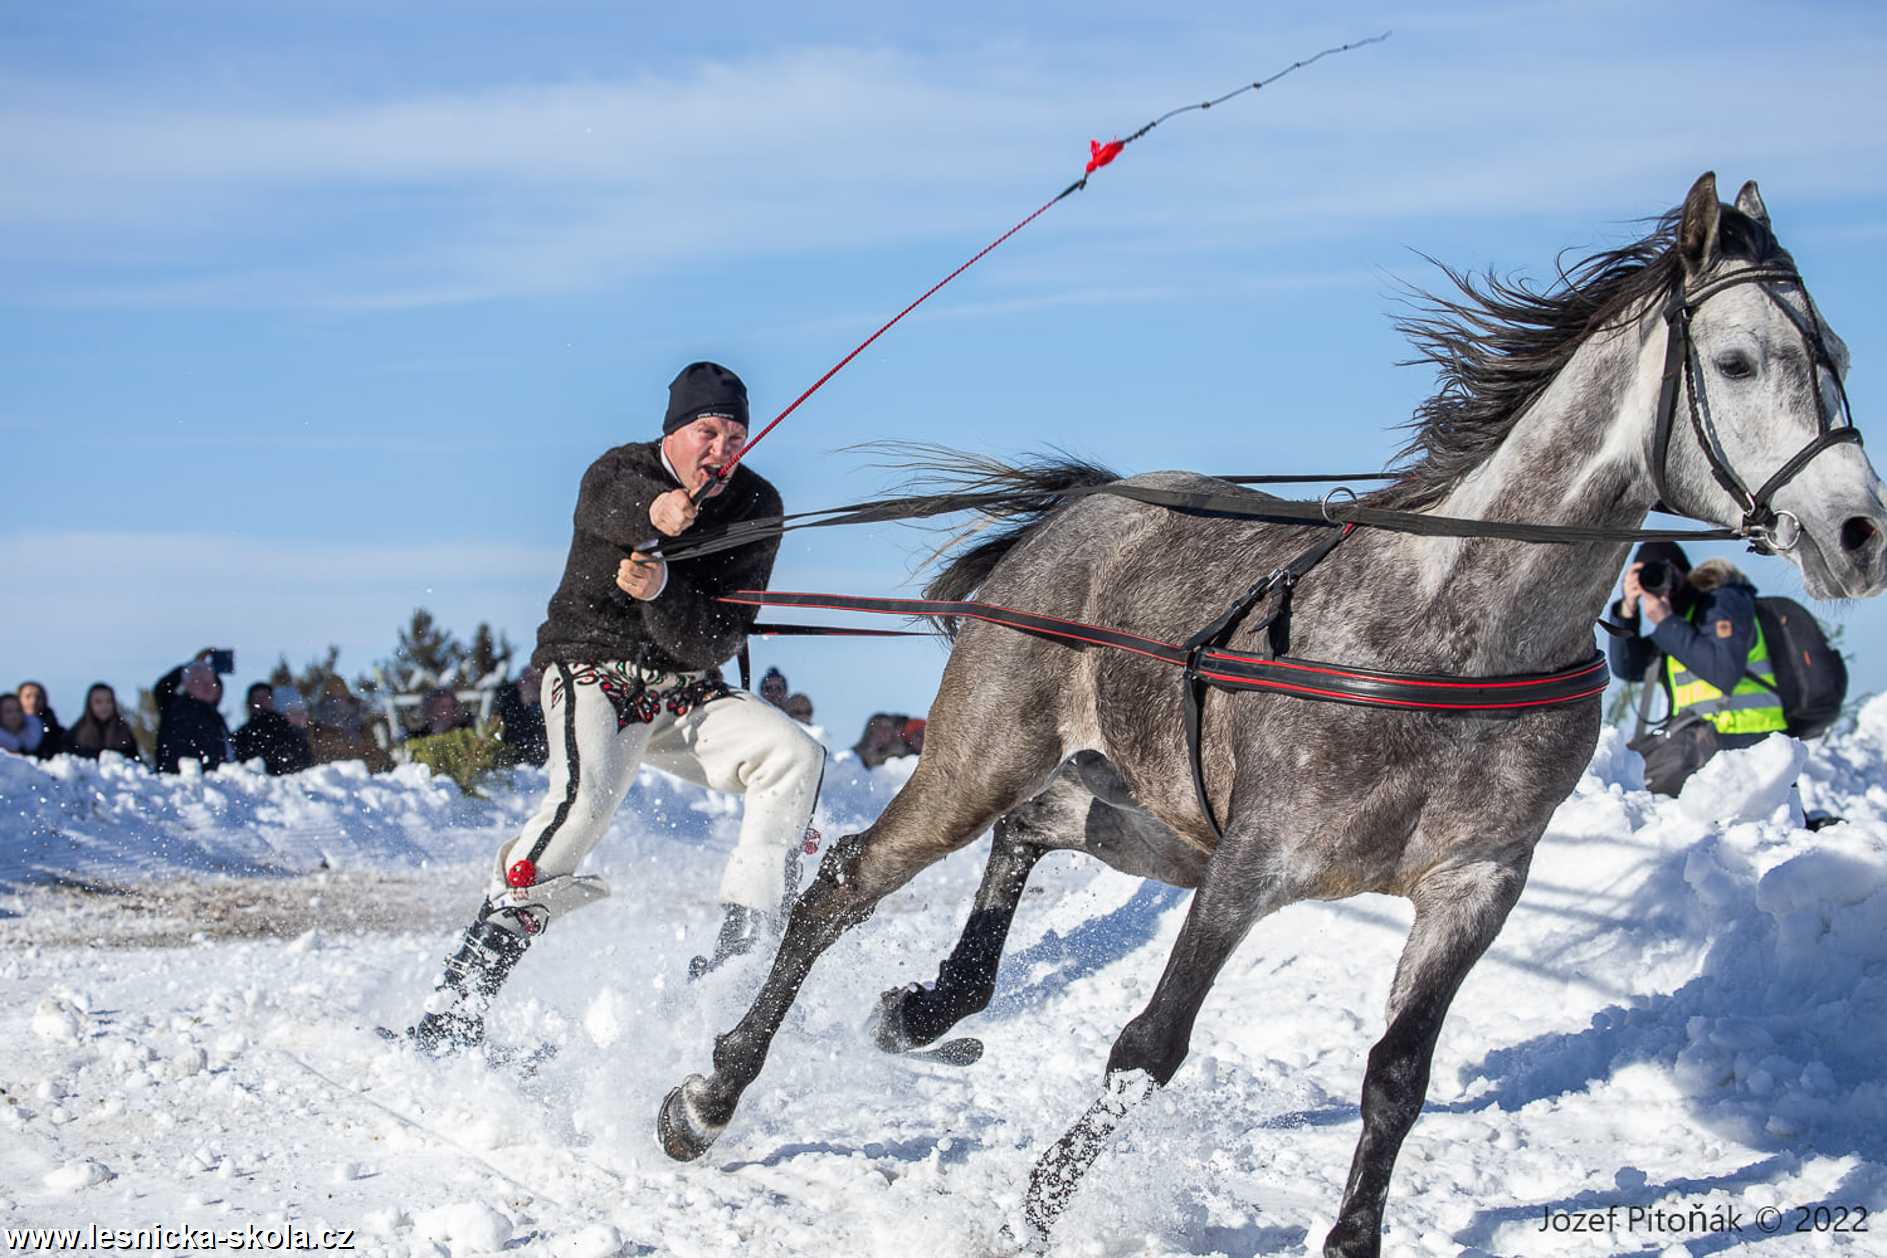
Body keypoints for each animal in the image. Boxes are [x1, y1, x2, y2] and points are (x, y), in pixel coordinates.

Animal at [660, 172, 1887, 1252]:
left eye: (1833, 356)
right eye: (1736, 361)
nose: (1859, 533)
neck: (1455, 634)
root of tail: (1079, 510)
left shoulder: (1476, 884)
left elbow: (1397, 1078)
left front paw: (1350, 1237)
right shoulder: (1257, 858)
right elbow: (1151, 1044)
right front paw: (1034, 1211)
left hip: (1151, 820)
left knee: (1031, 829)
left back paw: (925, 1008)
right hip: (987, 761)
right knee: (844, 884)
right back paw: (709, 1096)